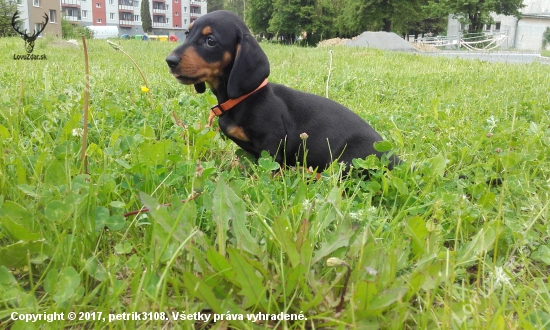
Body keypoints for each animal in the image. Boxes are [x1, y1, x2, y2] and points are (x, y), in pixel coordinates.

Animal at [166, 10, 404, 174]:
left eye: (210, 41)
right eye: (187, 33)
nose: (169, 61)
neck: (243, 98)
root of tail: (399, 161)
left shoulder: (272, 143)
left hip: (350, 159)